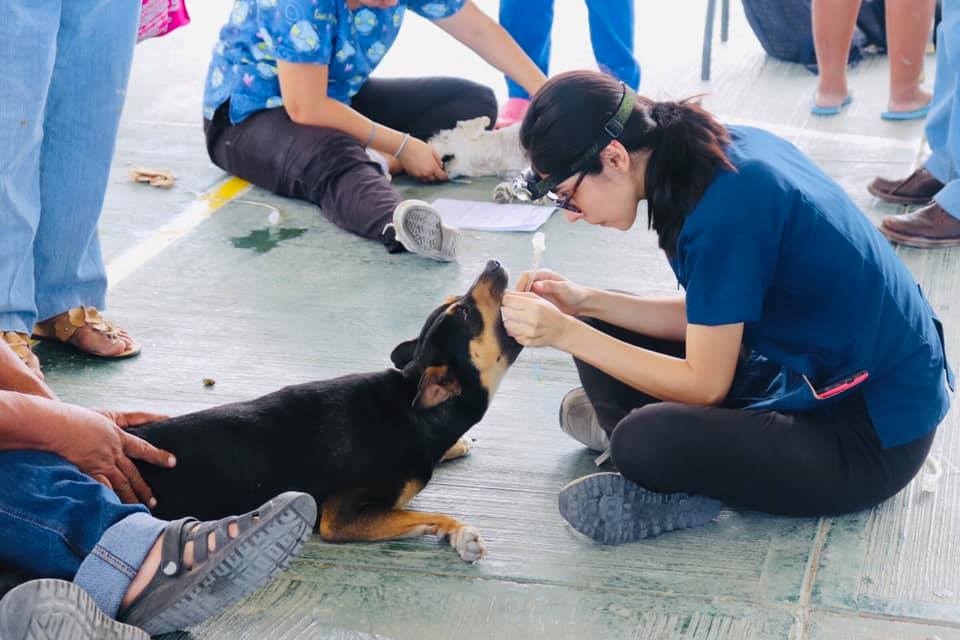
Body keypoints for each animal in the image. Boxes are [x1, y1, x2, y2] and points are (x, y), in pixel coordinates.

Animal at [131, 258, 520, 560]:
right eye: (466, 312)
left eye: (459, 304)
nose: (493, 263)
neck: (411, 411)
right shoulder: (340, 517)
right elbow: (428, 514)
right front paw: (461, 532)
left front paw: (457, 446)